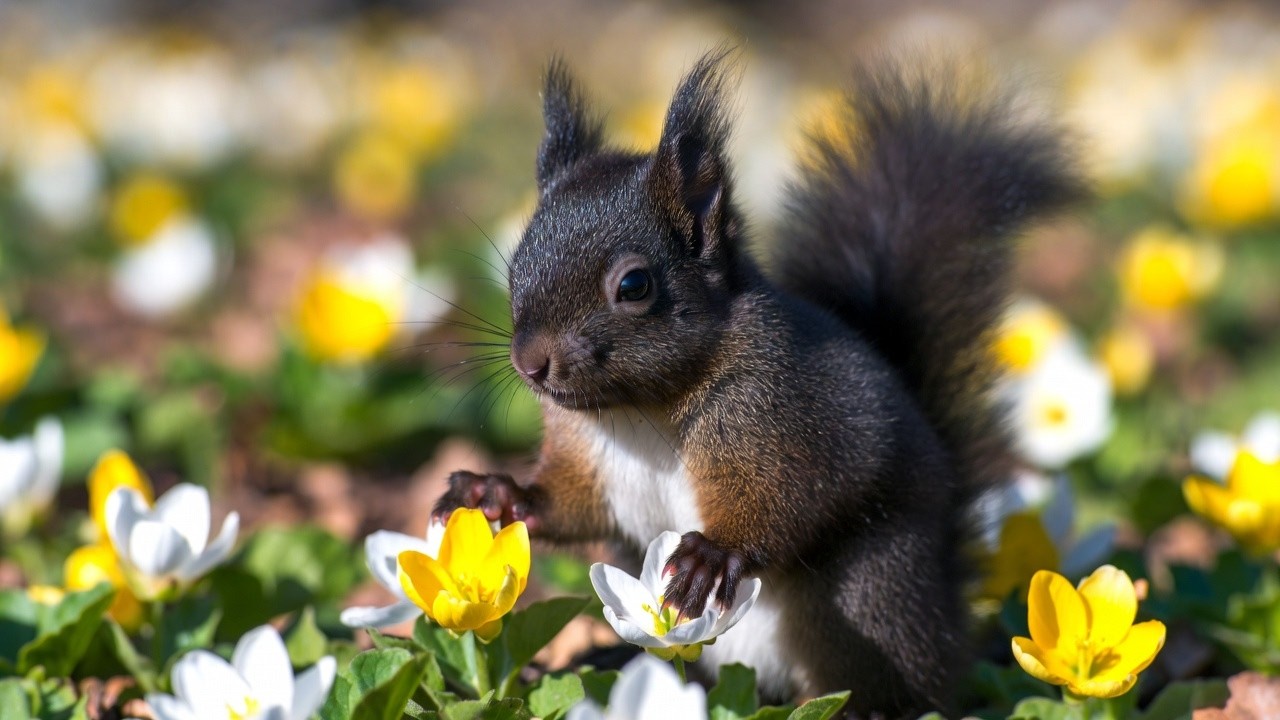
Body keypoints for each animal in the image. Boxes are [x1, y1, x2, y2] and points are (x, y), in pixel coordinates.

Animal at [434, 49, 1082, 718]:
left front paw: (711, 555)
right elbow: (570, 505)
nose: (530, 363)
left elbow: (792, 496)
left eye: (634, 286)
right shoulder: (586, 455)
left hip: (872, 592)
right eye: (516, 264)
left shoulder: (784, 413)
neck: (636, 412)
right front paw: (493, 490)